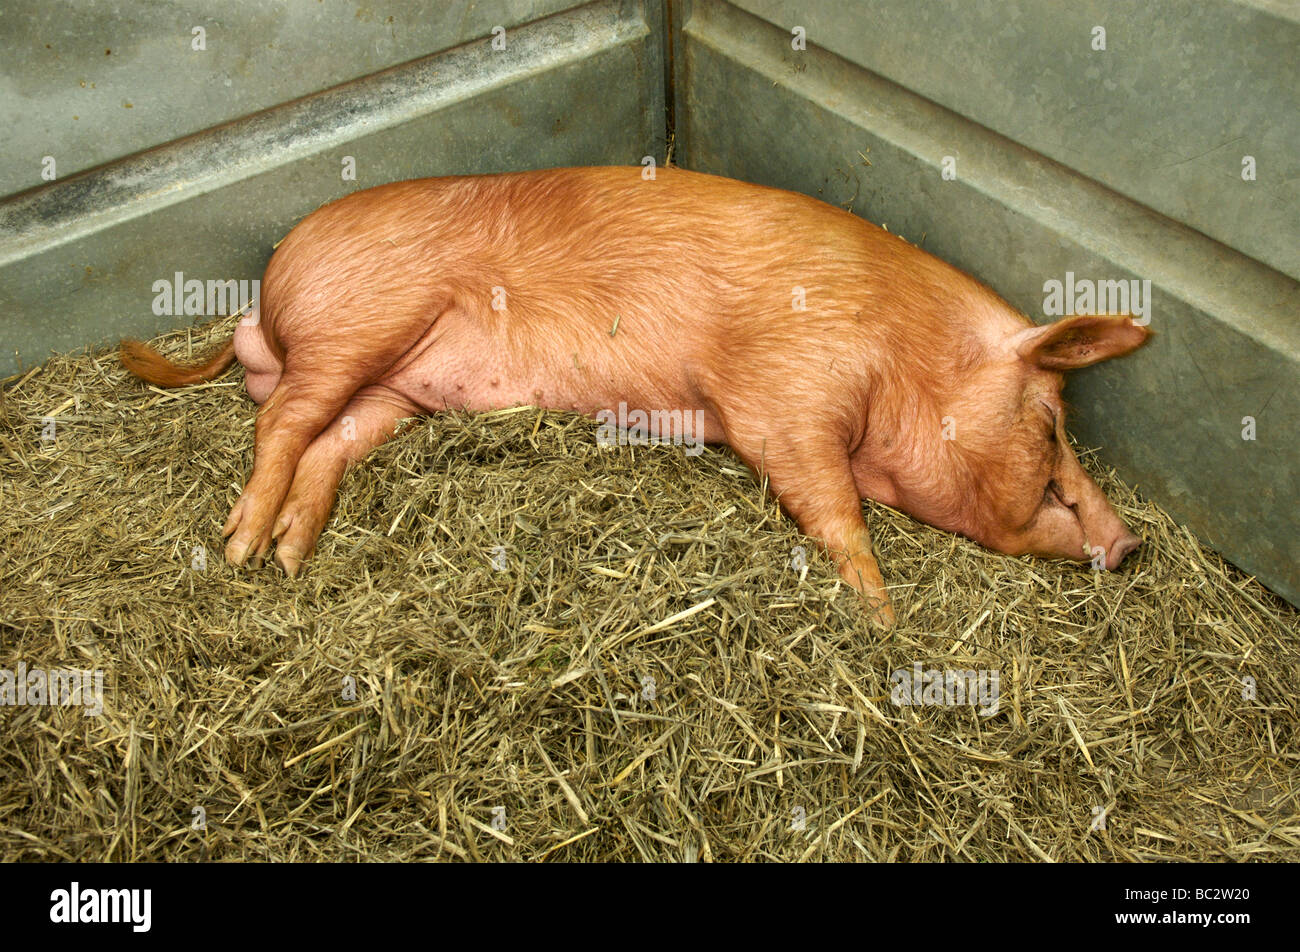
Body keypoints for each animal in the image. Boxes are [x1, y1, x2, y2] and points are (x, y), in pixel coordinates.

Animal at [124, 165, 1149, 624]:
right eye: (1050, 418)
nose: (1131, 542)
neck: (902, 350)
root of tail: (263, 300)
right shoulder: (782, 394)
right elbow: (834, 511)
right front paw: (883, 615)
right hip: (358, 323)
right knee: (281, 420)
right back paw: (242, 547)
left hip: (399, 388)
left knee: (328, 441)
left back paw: (291, 557)